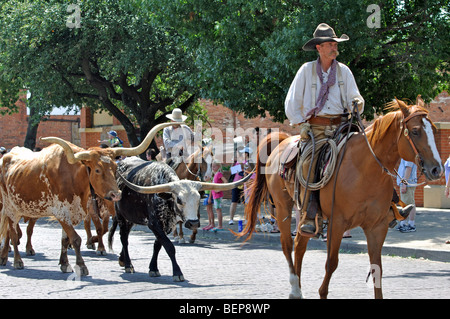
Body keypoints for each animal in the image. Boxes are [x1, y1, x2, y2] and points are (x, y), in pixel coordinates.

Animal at [239, 97, 442, 300]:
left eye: (433, 129)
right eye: (415, 131)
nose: (436, 169)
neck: (364, 169)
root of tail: (282, 141)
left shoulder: (377, 226)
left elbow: (377, 268)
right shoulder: (337, 222)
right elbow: (331, 262)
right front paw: (322, 292)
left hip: (305, 213)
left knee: (300, 244)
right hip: (283, 206)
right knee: (287, 244)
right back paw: (295, 288)